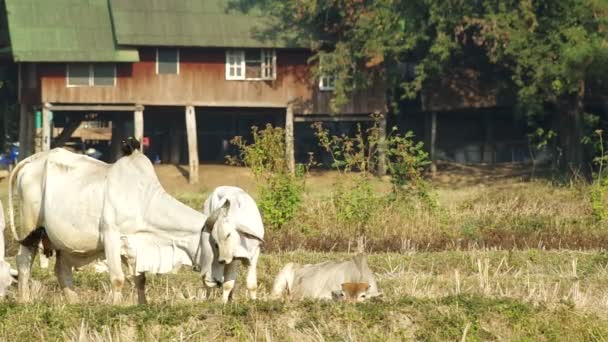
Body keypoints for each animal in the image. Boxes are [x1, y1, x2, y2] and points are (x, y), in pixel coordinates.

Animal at [7, 148, 216, 304]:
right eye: (216, 245)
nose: (217, 281)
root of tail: (32, 159)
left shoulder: (133, 245)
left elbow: (140, 279)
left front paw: (142, 305)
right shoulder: (111, 237)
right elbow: (117, 278)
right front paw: (116, 306)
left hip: (62, 241)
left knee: (61, 269)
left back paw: (74, 302)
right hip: (30, 229)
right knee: (24, 261)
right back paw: (24, 300)